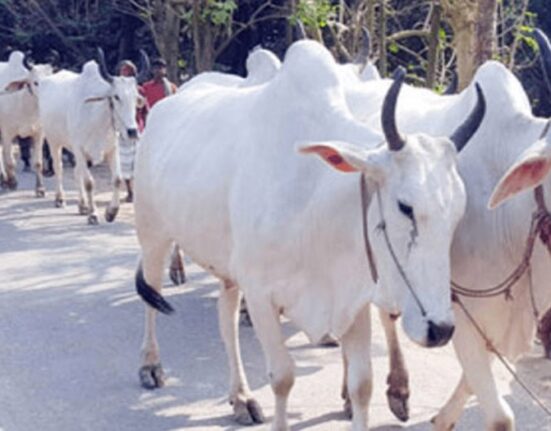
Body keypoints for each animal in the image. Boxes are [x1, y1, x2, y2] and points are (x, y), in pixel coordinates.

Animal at [40, 48, 146, 224]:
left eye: (136, 96)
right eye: (116, 96)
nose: (132, 131)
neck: (97, 120)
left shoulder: (112, 149)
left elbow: (117, 179)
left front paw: (111, 212)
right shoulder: (80, 149)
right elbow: (89, 182)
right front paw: (93, 214)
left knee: (76, 172)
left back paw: (82, 205)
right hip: (53, 141)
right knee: (58, 167)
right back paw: (60, 199)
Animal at [132, 38, 486, 430]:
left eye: (457, 212)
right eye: (404, 206)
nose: (440, 329)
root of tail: (161, 110)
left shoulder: (352, 301)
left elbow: (362, 385)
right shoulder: (261, 295)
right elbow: (283, 377)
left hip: (226, 268)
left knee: (226, 321)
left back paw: (241, 397)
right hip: (152, 234)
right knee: (151, 297)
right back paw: (151, 366)